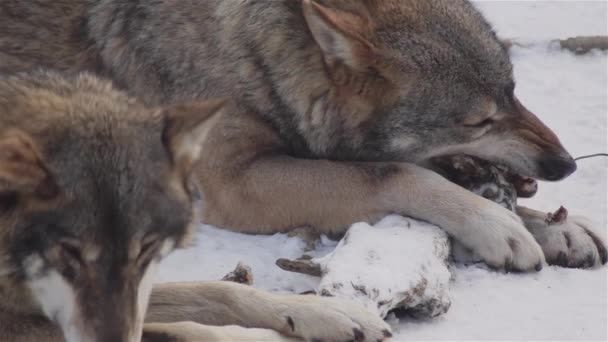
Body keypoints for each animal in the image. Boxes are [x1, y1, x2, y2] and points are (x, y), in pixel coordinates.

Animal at [0, 0, 604, 272]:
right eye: (479, 121)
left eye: (513, 93)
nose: (566, 163)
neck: (251, 57)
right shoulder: (237, 184)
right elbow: (396, 172)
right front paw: (497, 227)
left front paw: (555, 228)